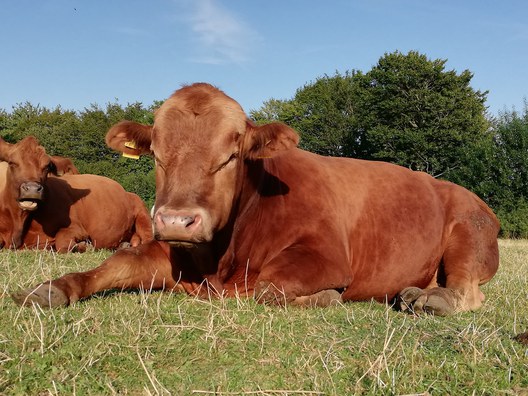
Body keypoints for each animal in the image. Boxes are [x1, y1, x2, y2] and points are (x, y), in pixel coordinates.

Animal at [1, 135, 153, 249]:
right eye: (12, 163)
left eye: (47, 167)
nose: (32, 189)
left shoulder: (76, 228)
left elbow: (61, 242)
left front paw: (83, 246)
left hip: (143, 213)